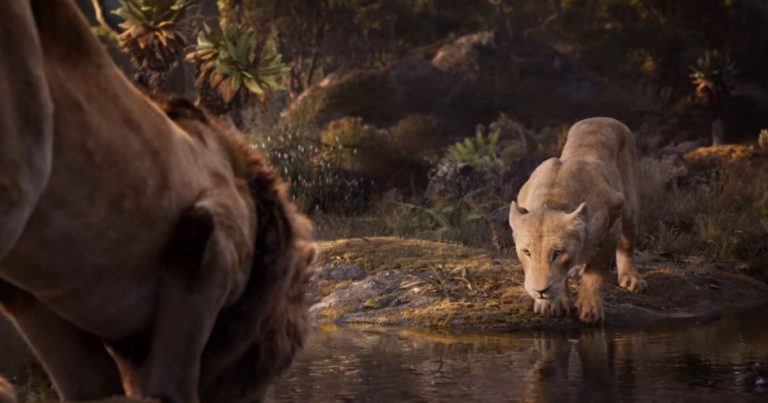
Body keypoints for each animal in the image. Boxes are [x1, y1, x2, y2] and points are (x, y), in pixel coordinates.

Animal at [508, 117, 646, 324]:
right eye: (526, 252)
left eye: (557, 253)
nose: (540, 291)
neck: (552, 199)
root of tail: (602, 118)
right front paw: (551, 304)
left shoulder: (613, 215)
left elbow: (596, 269)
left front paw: (590, 309)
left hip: (630, 206)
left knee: (627, 244)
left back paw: (631, 279)